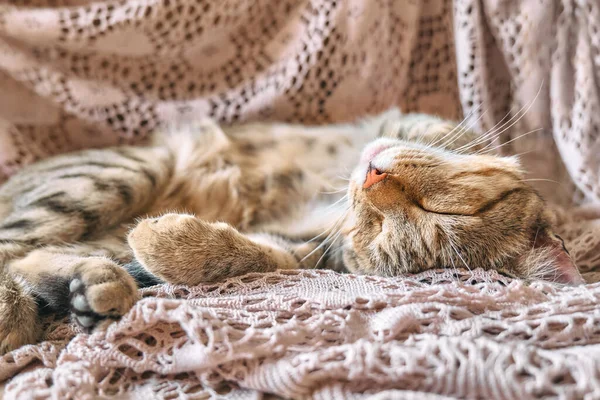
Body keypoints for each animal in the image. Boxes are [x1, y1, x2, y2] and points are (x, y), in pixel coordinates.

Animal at [0, 109, 584, 354]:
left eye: (376, 229)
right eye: (447, 211)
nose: (370, 178)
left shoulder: (303, 248)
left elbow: (249, 255)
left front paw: (170, 244)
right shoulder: (404, 121)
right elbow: (427, 129)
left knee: (31, 256)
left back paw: (94, 288)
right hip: (121, 173)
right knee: (14, 248)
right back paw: (21, 313)